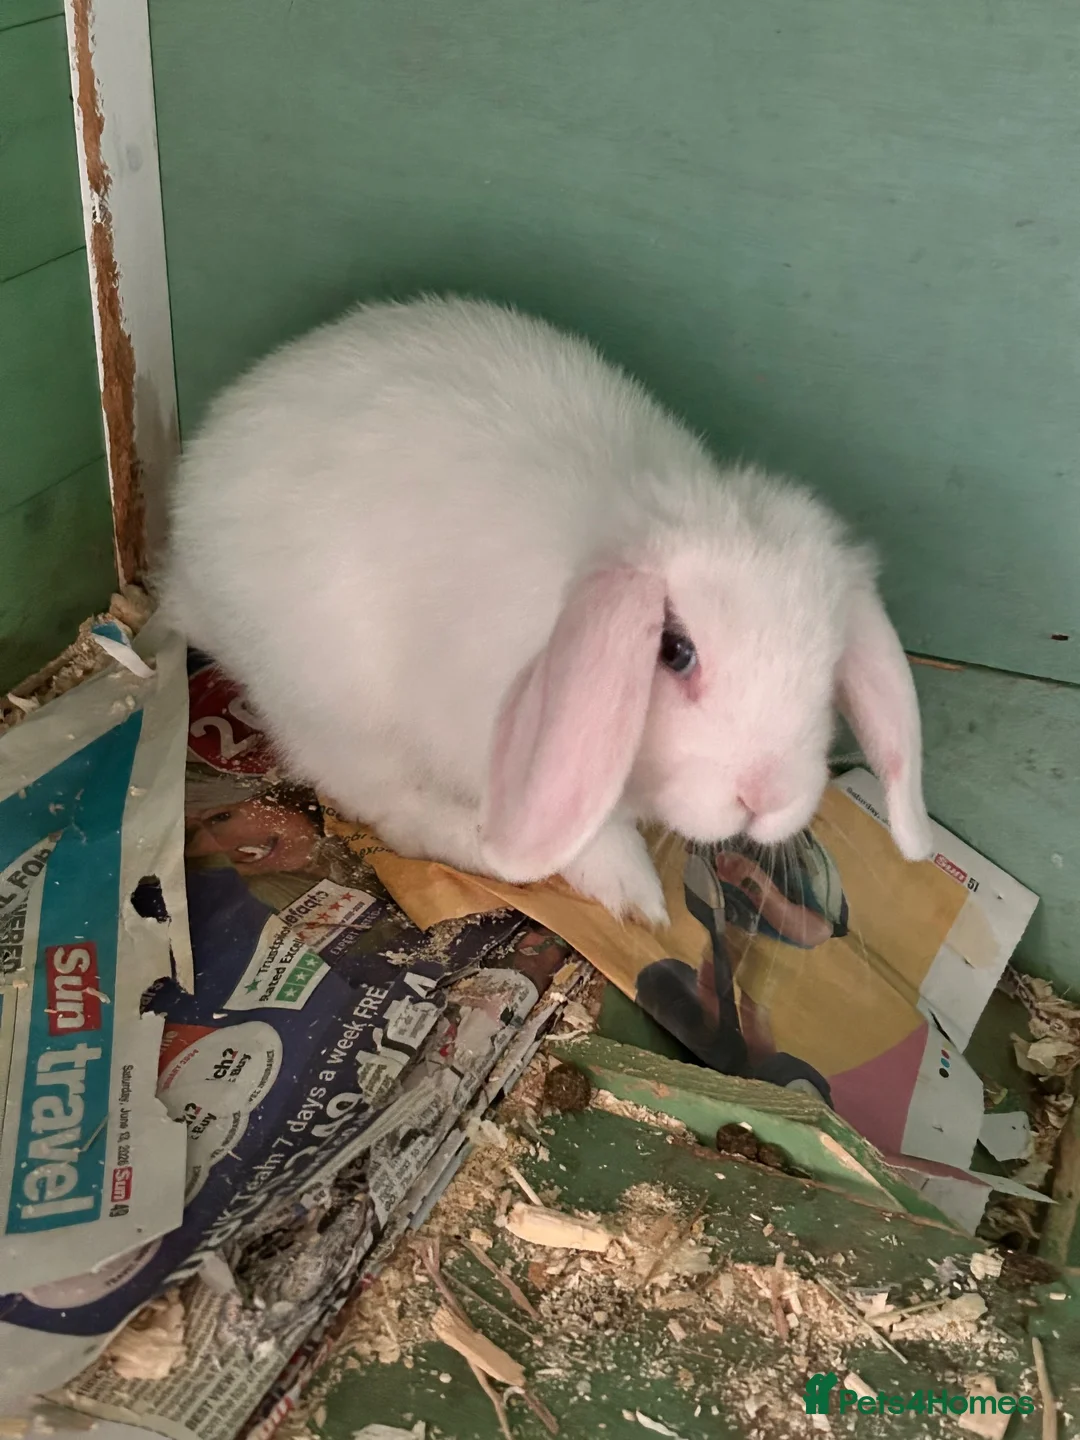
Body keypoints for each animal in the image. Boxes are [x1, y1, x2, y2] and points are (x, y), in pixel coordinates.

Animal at [161, 295, 933, 927]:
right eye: (674, 649)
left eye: (828, 669)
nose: (766, 798)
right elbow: (593, 834)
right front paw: (638, 899)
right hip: (338, 707)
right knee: (383, 803)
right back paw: (478, 846)